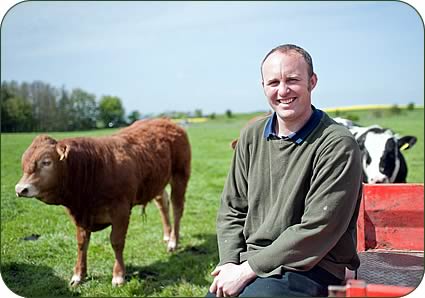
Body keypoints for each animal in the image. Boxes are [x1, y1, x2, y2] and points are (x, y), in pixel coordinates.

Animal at [14, 118, 190, 286]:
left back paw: (173, 241)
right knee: (163, 203)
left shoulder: (121, 211)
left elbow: (116, 242)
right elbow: (82, 243)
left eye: (46, 162)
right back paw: (167, 235)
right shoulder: (80, 215)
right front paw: (78, 275)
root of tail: (165, 120)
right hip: (157, 182)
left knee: (177, 209)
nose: (20, 189)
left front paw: (118, 276)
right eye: (24, 161)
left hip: (180, 175)